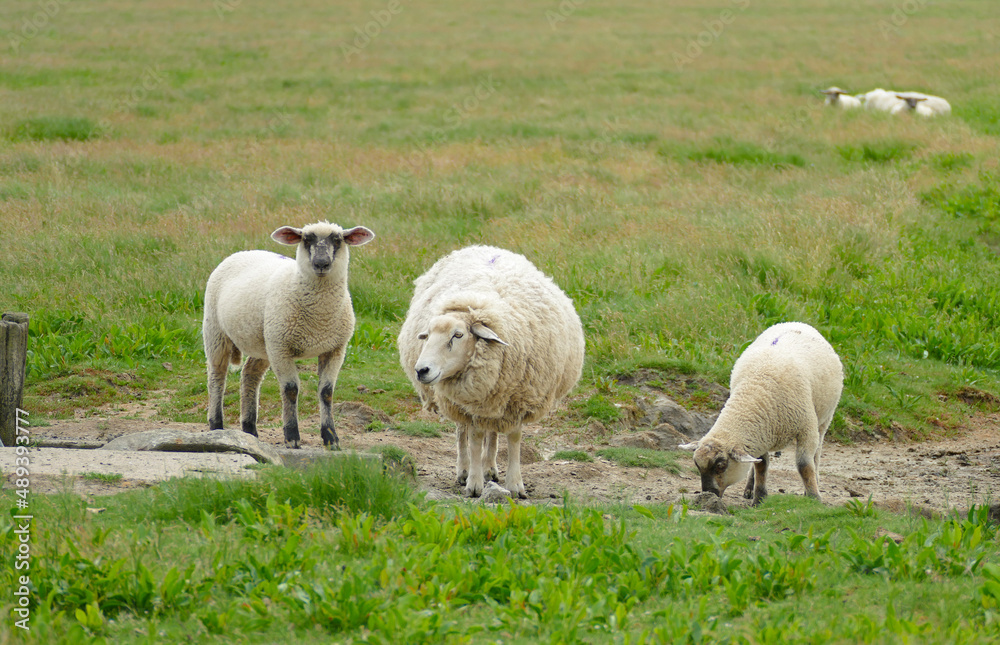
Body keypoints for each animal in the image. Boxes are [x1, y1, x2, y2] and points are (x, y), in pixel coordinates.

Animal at [202, 221, 375, 449]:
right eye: (306, 240)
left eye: (338, 240)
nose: (321, 263)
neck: (320, 319)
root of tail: (244, 252)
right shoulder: (281, 348)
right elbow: (290, 389)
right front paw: (292, 437)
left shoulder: (335, 349)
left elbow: (326, 392)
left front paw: (331, 438)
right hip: (216, 331)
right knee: (217, 376)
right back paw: (217, 426)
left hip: (264, 341)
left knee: (249, 374)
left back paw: (250, 430)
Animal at [398, 245, 585, 499]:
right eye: (427, 335)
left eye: (458, 335)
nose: (421, 370)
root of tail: (482, 246)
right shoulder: (473, 403)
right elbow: (475, 437)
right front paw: (474, 484)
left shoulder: (517, 399)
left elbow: (513, 437)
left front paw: (515, 484)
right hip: (463, 400)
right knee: (462, 431)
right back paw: (464, 470)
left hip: (495, 398)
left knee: (493, 432)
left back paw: (490, 468)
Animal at [679, 322, 843, 506]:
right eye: (696, 465)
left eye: (721, 466)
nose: (708, 494)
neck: (757, 389)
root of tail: (795, 322)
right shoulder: (760, 433)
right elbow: (761, 464)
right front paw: (759, 498)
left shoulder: (806, 428)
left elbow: (804, 465)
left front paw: (814, 498)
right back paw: (749, 488)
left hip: (824, 419)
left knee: (816, 453)